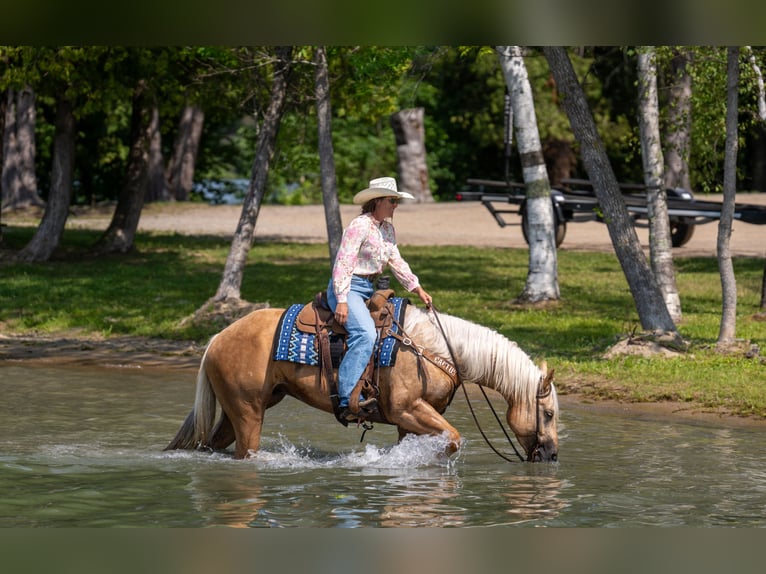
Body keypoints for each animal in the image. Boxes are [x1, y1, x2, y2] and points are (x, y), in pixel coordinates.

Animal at [165, 301, 559, 462]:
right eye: (550, 414)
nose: (552, 456)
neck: (432, 347)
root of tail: (219, 337)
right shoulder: (407, 410)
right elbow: (453, 439)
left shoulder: (411, 420)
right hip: (248, 413)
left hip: (237, 412)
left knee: (212, 445)